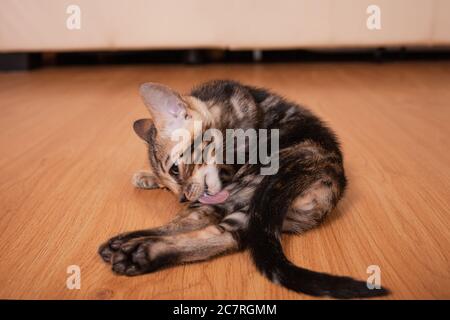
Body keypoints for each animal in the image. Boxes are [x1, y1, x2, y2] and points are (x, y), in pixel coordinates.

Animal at [100, 80, 388, 300]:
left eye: (174, 171)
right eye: (169, 184)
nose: (181, 197)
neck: (218, 107)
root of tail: (326, 172)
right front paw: (147, 176)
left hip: (254, 192)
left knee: (203, 224)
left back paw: (133, 251)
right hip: (251, 210)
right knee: (217, 234)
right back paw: (126, 246)